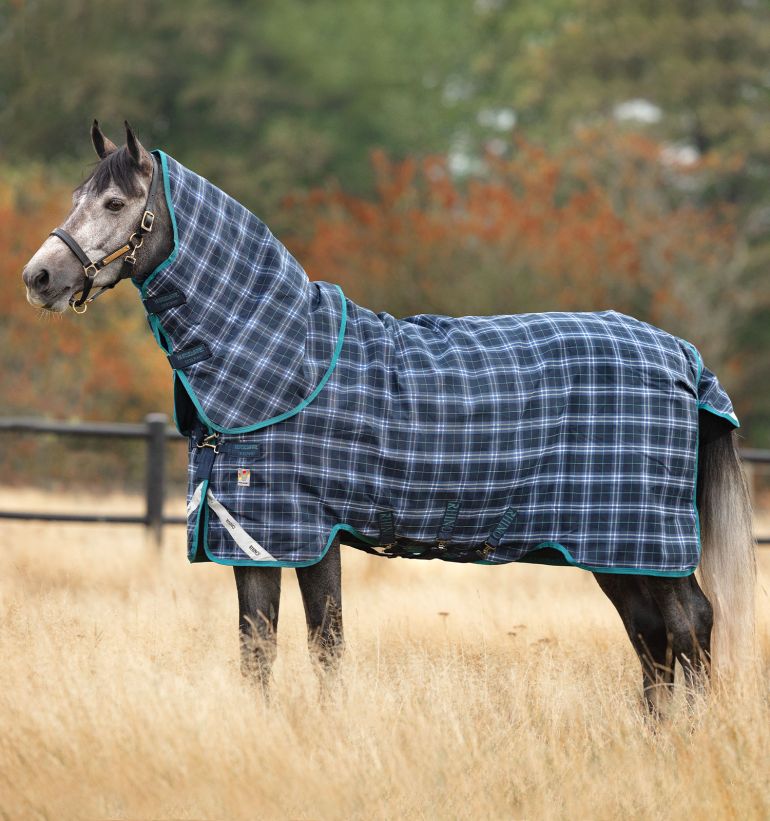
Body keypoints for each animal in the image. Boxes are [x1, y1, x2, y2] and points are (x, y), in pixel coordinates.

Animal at [22, 121, 756, 714]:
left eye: (116, 204)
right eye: (74, 199)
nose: (39, 278)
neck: (284, 356)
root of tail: (683, 357)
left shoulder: (290, 531)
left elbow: (306, 642)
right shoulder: (275, 536)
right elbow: (279, 645)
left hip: (641, 541)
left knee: (688, 625)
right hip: (620, 548)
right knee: (653, 638)